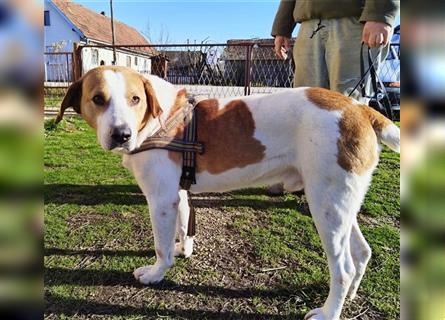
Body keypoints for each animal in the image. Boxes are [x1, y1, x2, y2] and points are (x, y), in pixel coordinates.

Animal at [55, 66, 398, 318]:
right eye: (98, 99)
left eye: (135, 99)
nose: (122, 134)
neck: (159, 119)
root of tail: (357, 108)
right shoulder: (179, 194)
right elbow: (184, 227)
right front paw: (184, 250)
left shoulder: (161, 200)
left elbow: (160, 247)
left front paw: (156, 274)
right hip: (340, 205)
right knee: (362, 252)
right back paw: (351, 295)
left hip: (325, 207)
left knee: (343, 268)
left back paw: (329, 311)